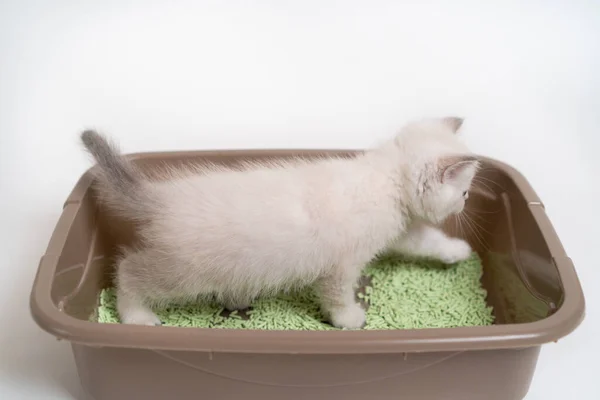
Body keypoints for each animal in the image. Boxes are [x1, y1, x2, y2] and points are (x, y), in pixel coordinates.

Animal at [82, 117, 480, 330]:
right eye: (463, 192)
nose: (465, 204)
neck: (388, 178)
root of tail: (161, 197)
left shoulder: (401, 229)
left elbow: (427, 241)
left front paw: (457, 251)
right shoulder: (341, 266)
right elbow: (337, 294)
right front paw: (349, 318)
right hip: (181, 272)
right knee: (128, 269)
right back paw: (136, 315)